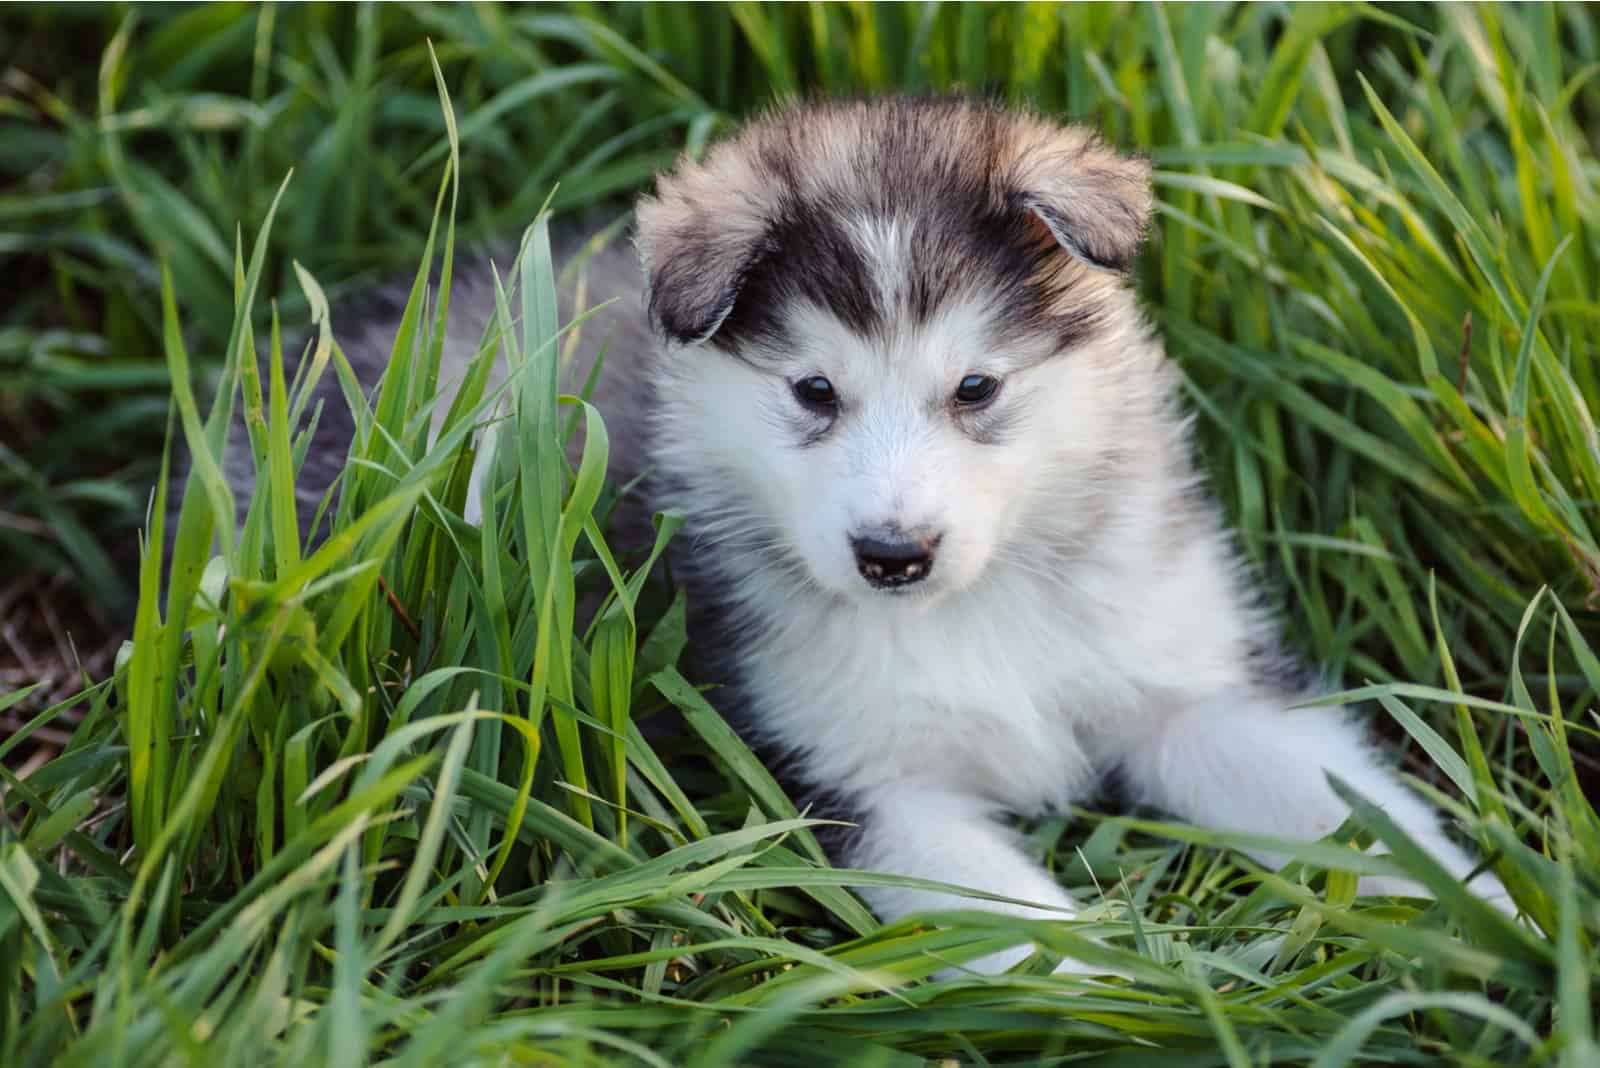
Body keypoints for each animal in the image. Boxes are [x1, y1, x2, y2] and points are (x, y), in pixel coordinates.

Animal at [318, 95, 1504, 972]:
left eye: (975, 387)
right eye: (813, 390)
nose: (893, 555)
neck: (980, 605)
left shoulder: (1193, 690)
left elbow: (1363, 813)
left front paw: (1506, 924)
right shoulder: (864, 788)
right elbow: (1038, 946)